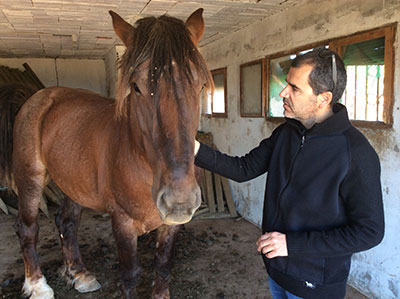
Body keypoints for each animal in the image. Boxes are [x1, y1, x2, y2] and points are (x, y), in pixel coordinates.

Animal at [0, 8, 212, 298]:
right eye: (136, 86)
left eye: (200, 85)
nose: (179, 200)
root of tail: (37, 97)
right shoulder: (122, 223)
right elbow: (130, 275)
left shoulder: (171, 225)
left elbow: (163, 265)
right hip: (30, 178)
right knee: (27, 228)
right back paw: (38, 286)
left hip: (73, 182)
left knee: (66, 222)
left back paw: (80, 274)